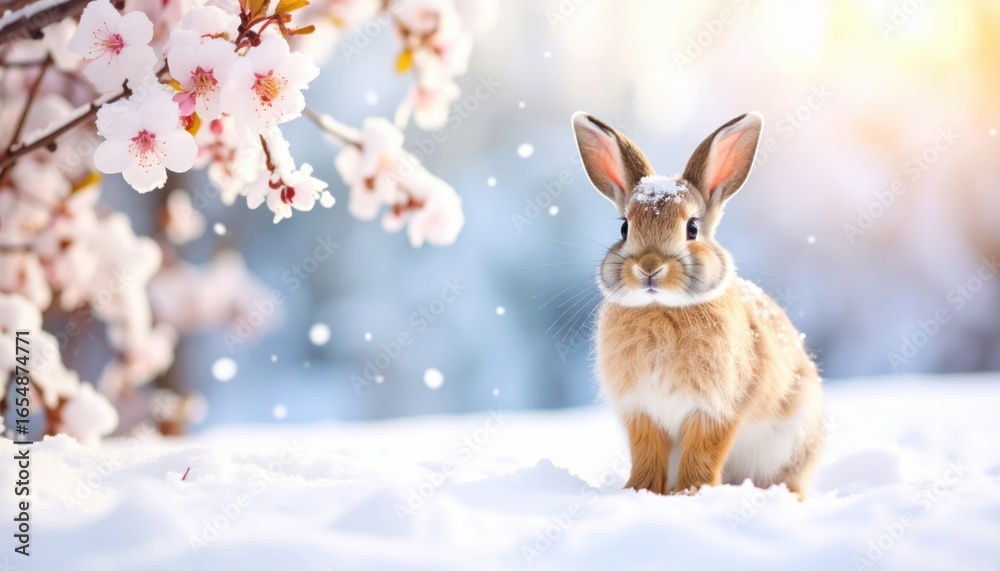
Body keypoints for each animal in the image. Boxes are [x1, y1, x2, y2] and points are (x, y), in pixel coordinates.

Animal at [570, 111, 824, 499]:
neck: (661, 309)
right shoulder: (641, 411)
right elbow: (647, 453)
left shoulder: (715, 410)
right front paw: (639, 491)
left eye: (691, 228)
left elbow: (703, 452)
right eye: (625, 228)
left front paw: (691, 493)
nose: (649, 267)